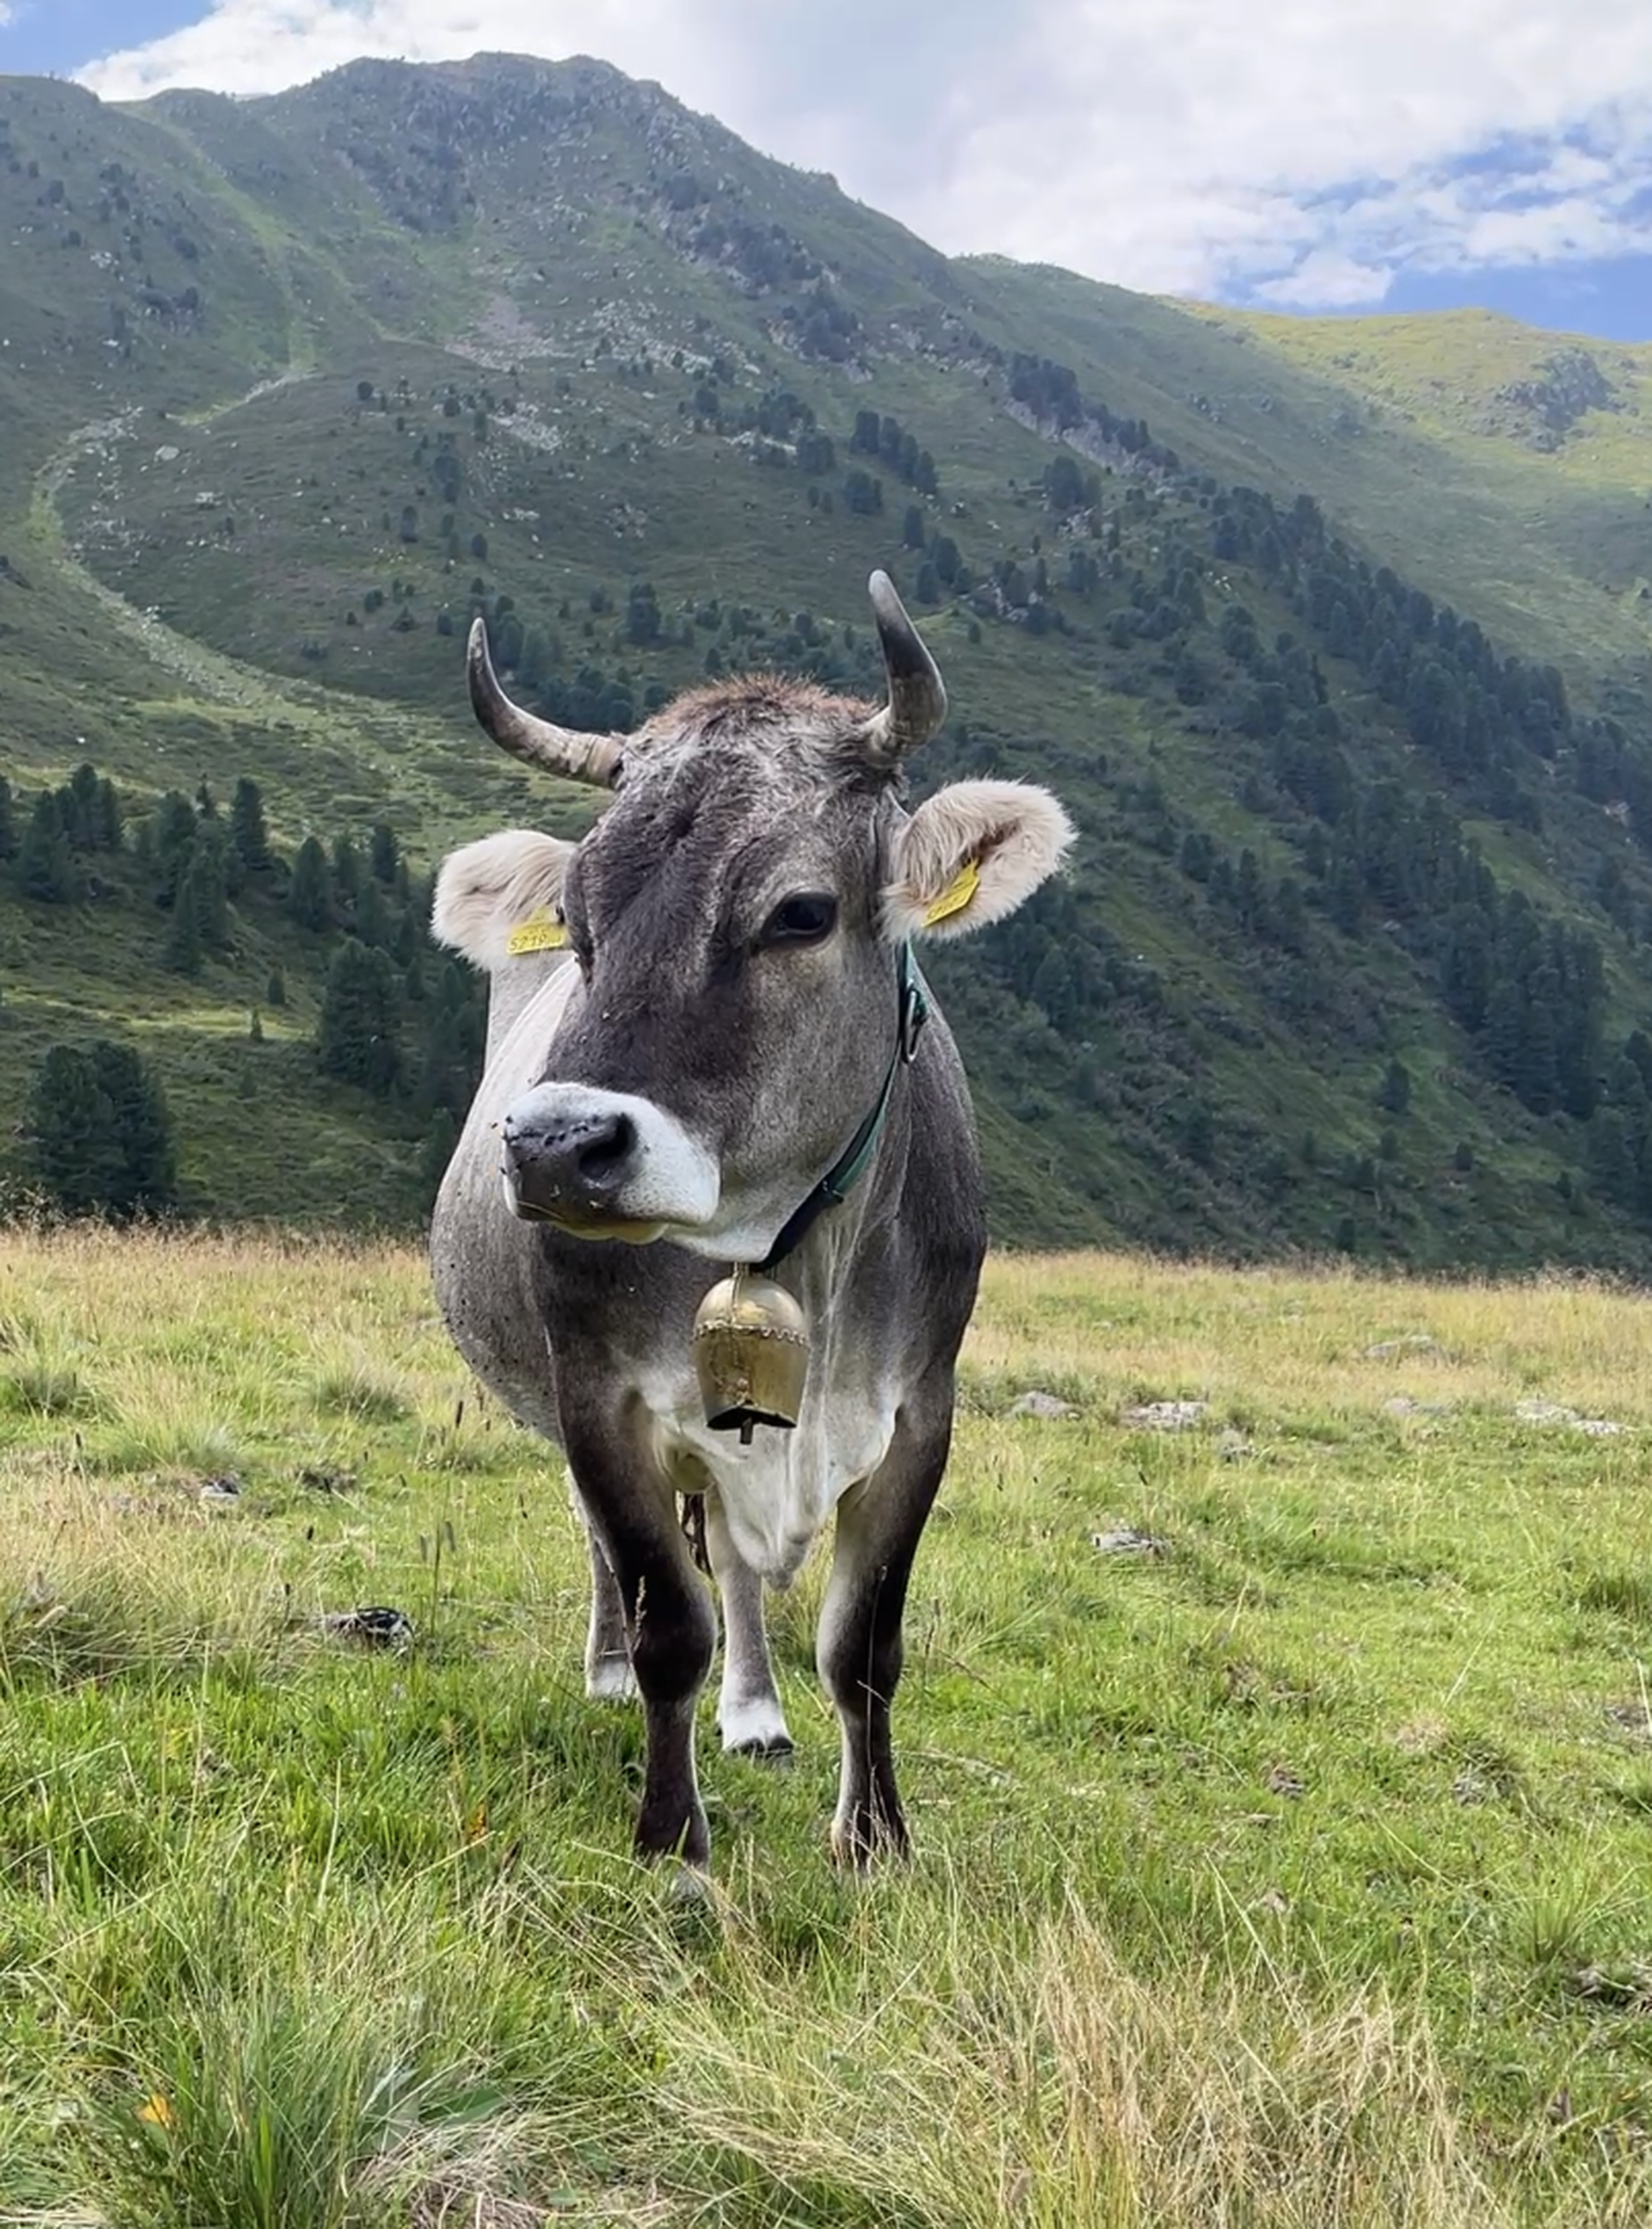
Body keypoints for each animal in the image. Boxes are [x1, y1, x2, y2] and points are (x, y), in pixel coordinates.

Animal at [429, 570, 1073, 1869]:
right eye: (576, 913)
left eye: (800, 912)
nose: (557, 1146)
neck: (788, 1254)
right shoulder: (601, 1396)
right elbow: (666, 1615)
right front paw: (672, 1840)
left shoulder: (921, 1407)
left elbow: (863, 1643)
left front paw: (873, 1837)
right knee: (621, 1554)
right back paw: (611, 1674)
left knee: (734, 1551)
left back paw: (757, 1711)